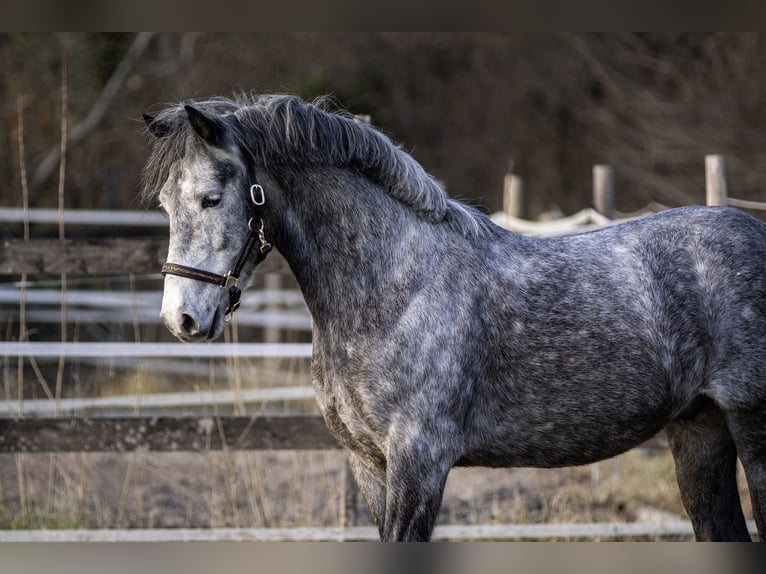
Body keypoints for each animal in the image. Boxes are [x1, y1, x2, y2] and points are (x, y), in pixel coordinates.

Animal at [141, 94, 766, 541]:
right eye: (166, 204)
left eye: (211, 198)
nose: (182, 319)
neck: (394, 287)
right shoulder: (369, 465)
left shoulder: (421, 462)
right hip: (698, 429)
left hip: (751, 423)